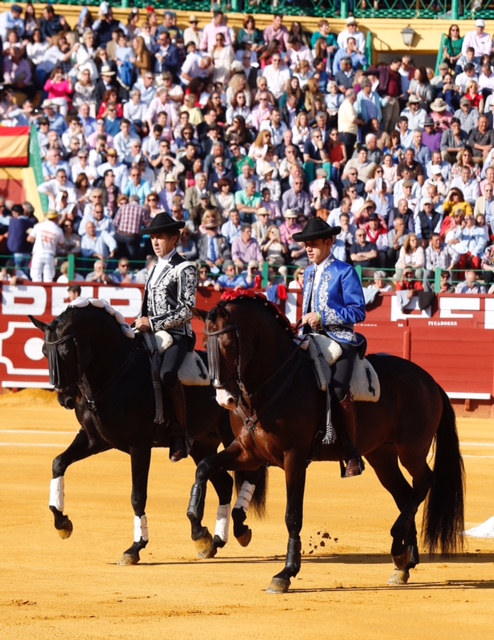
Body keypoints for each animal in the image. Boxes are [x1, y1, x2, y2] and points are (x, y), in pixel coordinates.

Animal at [29, 299, 267, 565]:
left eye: (66, 352)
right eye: (43, 351)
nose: (65, 398)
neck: (117, 371)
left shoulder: (139, 445)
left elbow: (137, 495)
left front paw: (134, 548)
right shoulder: (94, 439)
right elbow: (58, 463)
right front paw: (62, 523)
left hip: (234, 438)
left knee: (251, 474)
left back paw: (238, 529)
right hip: (201, 445)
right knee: (224, 482)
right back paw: (212, 540)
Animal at [188, 292, 465, 593]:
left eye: (228, 345)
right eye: (205, 345)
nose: (224, 399)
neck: (274, 381)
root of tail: (429, 380)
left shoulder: (294, 458)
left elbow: (292, 515)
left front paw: (285, 574)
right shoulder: (249, 452)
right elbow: (204, 468)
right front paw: (203, 533)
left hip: (411, 450)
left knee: (425, 482)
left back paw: (398, 547)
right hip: (382, 456)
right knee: (405, 495)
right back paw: (403, 562)